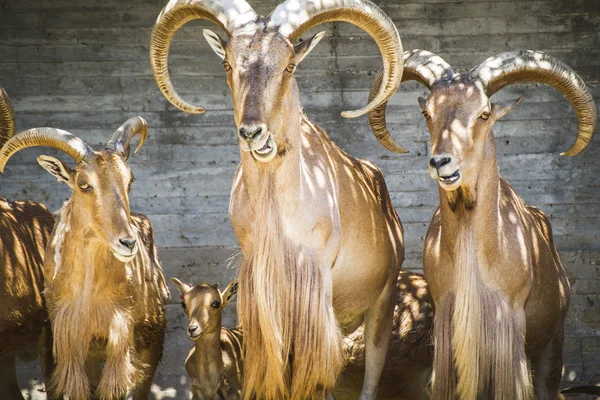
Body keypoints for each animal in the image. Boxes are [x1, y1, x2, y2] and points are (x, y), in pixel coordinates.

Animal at [0, 116, 171, 400]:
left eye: (130, 180)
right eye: (84, 184)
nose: (128, 242)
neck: (89, 297)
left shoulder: (119, 344)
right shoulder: (71, 346)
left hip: (151, 340)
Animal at [150, 1, 406, 398]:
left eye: (289, 65)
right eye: (227, 63)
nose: (253, 133)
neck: (279, 213)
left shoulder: (314, 291)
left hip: (384, 299)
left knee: (372, 370)